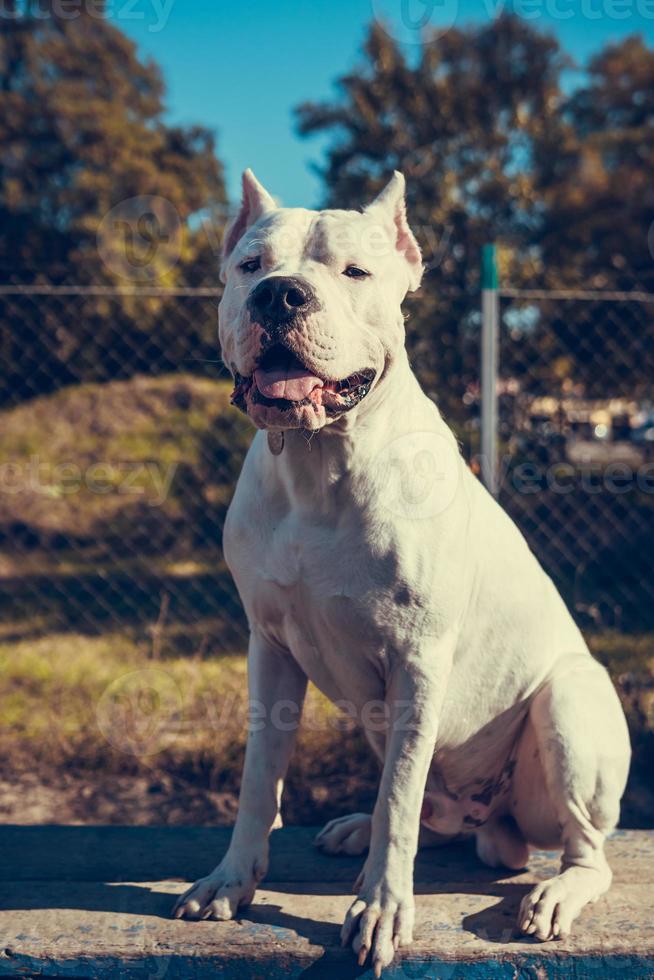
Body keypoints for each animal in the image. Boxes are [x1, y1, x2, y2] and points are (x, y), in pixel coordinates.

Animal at [173, 168, 632, 972]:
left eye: (355, 272)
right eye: (250, 267)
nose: (281, 296)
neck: (321, 465)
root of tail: (499, 826)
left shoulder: (417, 664)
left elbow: (400, 801)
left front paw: (383, 908)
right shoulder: (270, 651)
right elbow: (261, 780)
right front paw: (232, 880)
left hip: (570, 705)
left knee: (583, 850)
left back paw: (552, 894)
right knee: (431, 813)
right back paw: (358, 829)